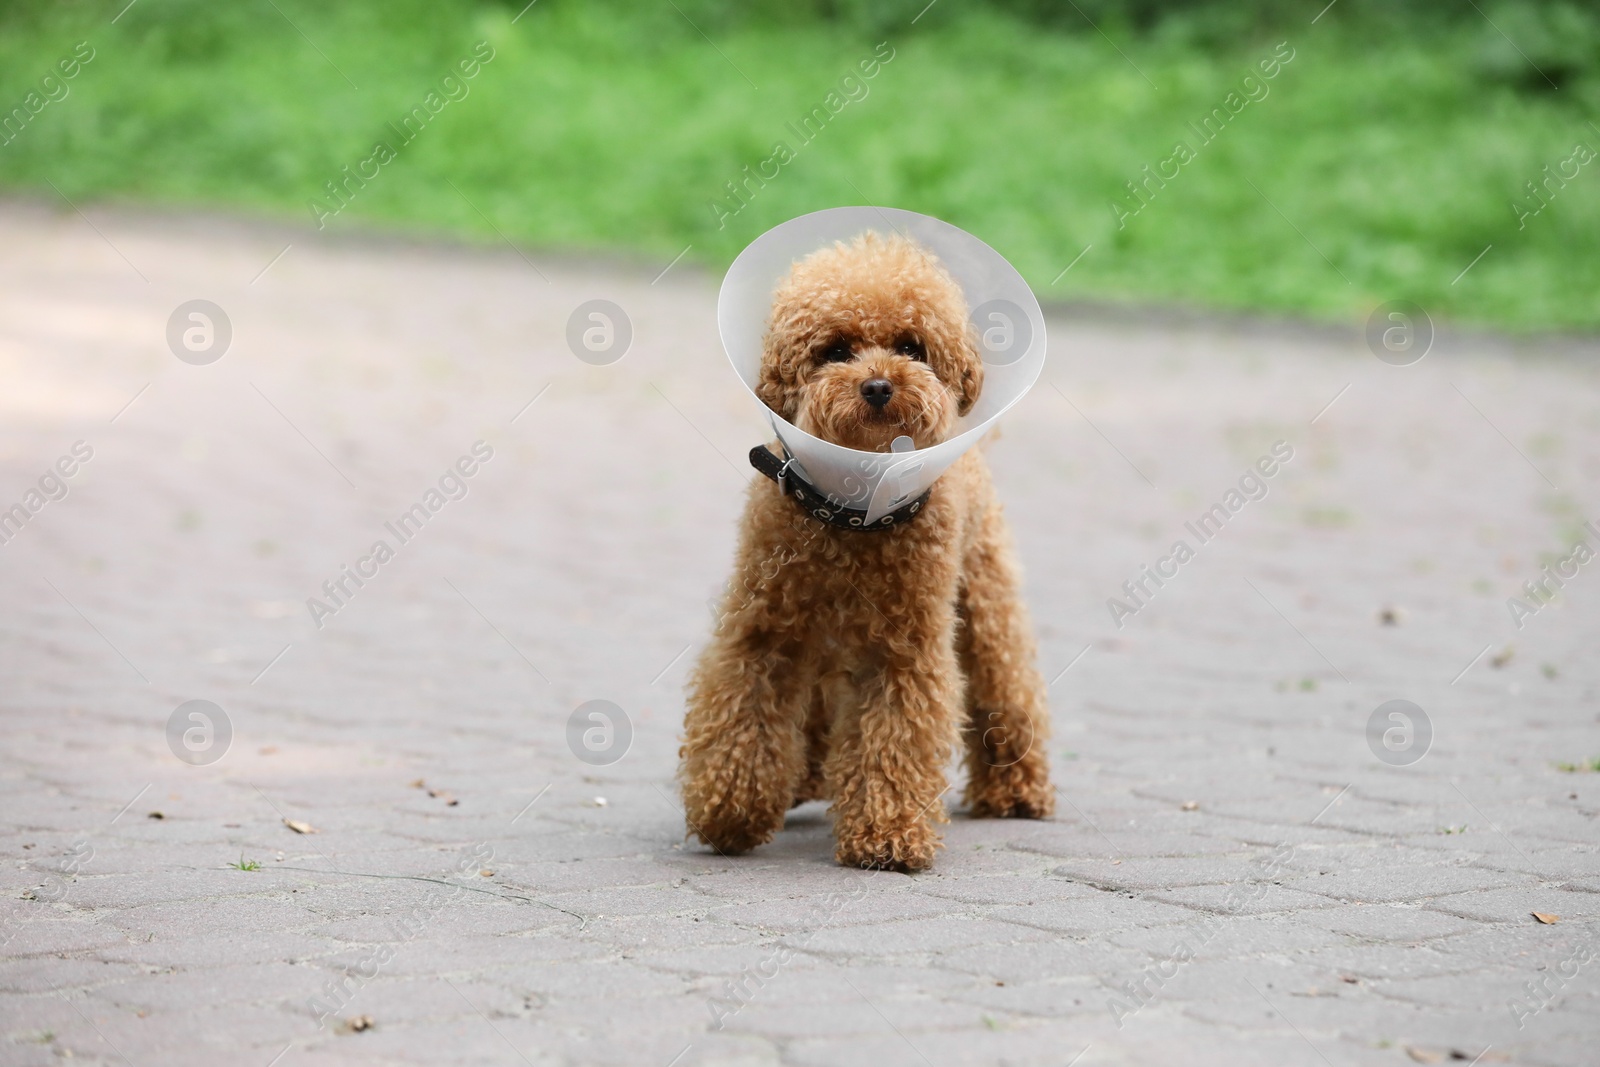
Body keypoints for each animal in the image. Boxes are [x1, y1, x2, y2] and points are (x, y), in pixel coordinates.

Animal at [675, 230, 1049, 870]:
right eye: (836, 349)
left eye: (911, 345)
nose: (878, 385)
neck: (852, 517)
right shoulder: (763, 631)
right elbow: (743, 714)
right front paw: (732, 810)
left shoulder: (903, 651)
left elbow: (894, 738)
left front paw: (887, 833)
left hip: (983, 603)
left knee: (1006, 684)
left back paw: (1017, 790)